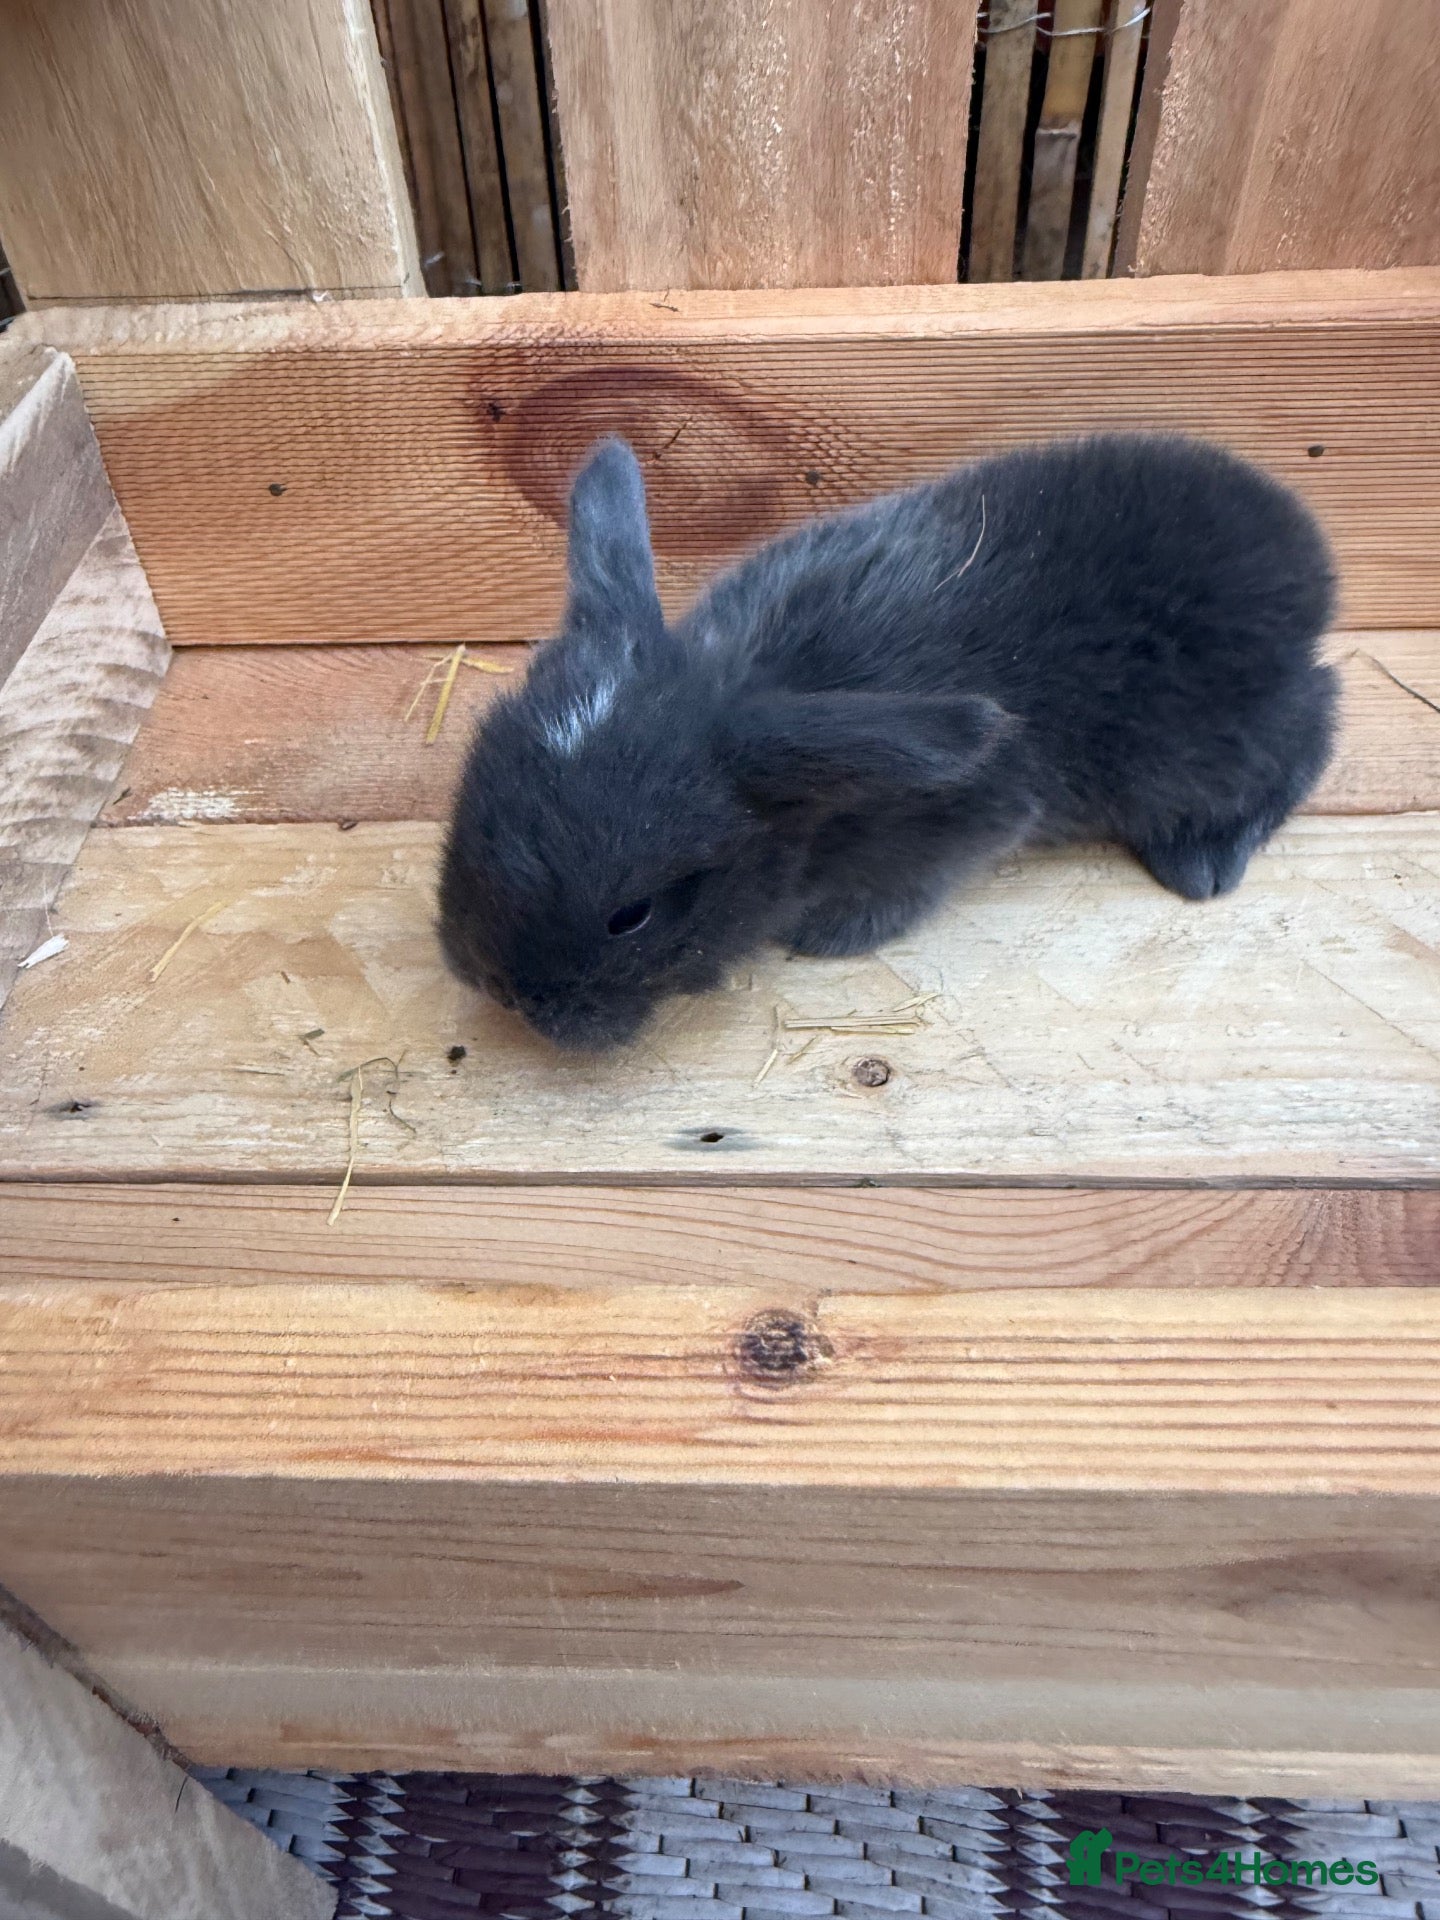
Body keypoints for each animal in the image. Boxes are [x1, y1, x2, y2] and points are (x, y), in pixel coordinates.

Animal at [439, 431, 1336, 1052]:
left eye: (631, 916)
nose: (498, 987)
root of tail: (1306, 560)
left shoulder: (978, 815)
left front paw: (830, 936)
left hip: (1211, 753)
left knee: (1316, 731)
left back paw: (1204, 862)